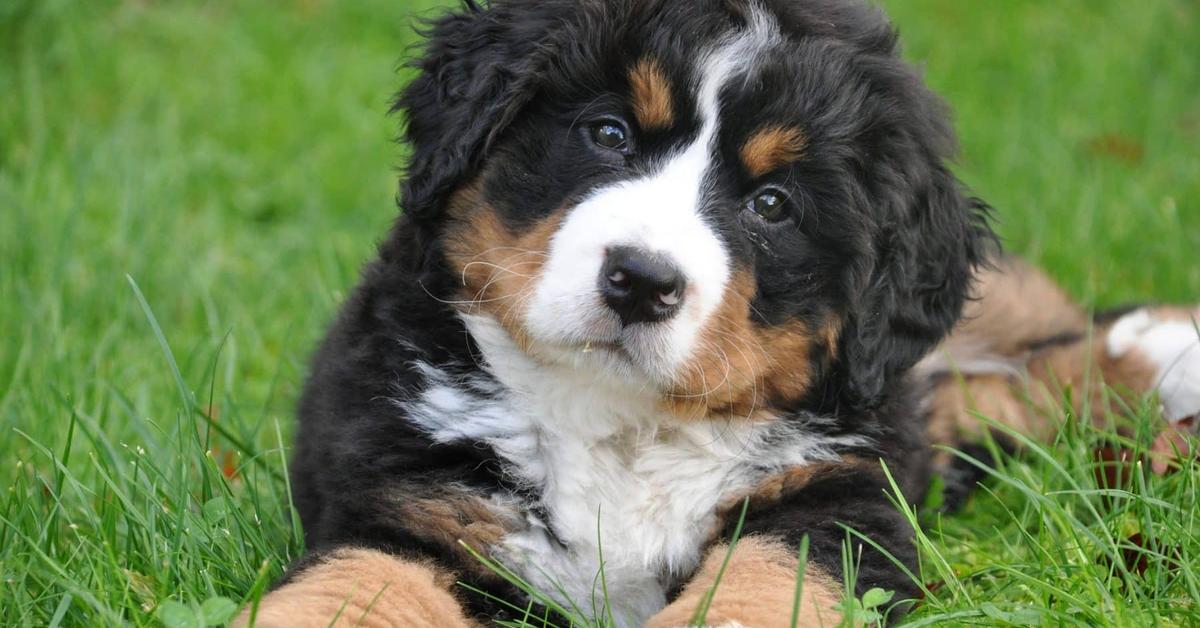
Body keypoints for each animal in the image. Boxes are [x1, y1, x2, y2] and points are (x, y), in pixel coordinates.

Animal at [238, 1, 1195, 628]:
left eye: (773, 205)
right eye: (609, 133)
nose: (640, 281)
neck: (619, 425)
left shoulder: (838, 501)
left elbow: (758, 585)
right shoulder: (412, 500)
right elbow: (352, 592)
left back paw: (1166, 354)